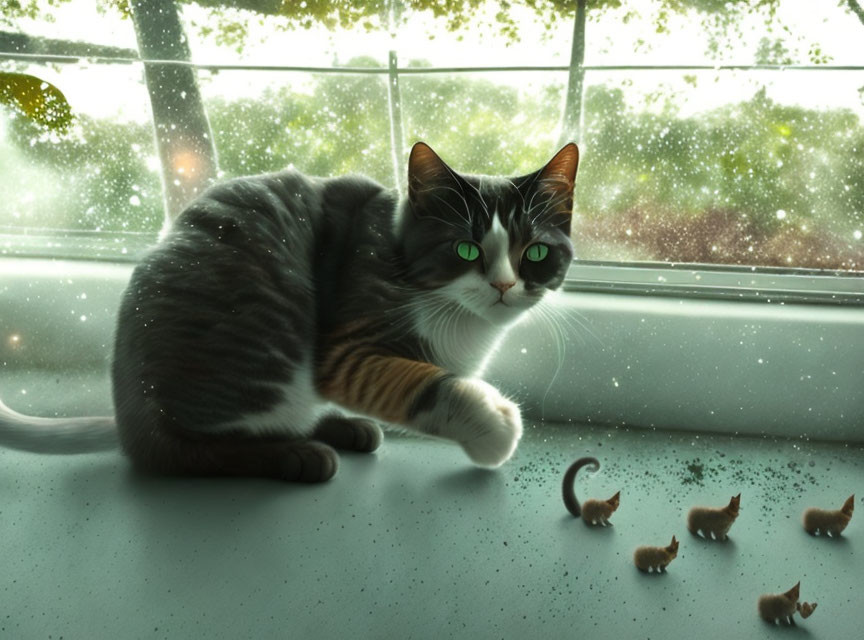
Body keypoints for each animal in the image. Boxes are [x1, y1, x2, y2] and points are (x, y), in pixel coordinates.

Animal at [1, 140, 580, 480]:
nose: (504, 284)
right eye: (465, 249)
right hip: (261, 335)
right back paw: (297, 455)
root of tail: (128, 419)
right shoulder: (348, 345)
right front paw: (492, 426)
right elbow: (418, 383)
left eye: (534, 252)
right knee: (186, 452)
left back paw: (340, 429)